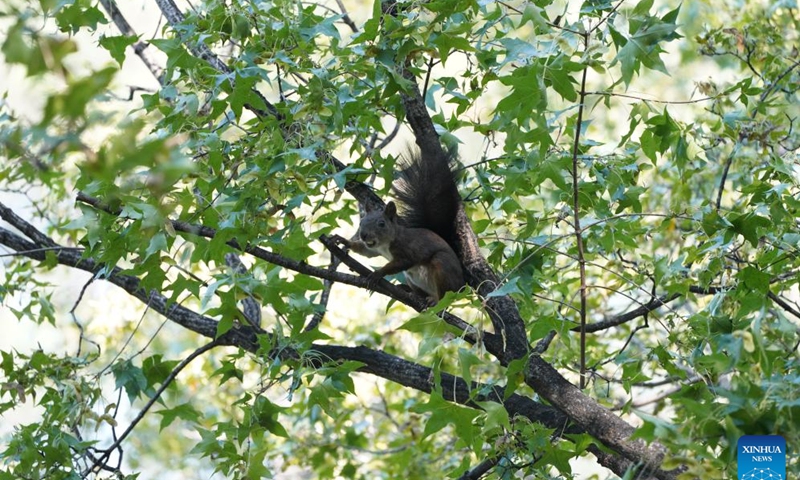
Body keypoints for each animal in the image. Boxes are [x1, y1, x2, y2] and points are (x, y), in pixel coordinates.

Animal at [332, 149, 465, 304]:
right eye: (361, 222)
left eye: (381, 224)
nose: (363, 235)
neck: (385, 244)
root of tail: (463, 285)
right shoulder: (374, 250)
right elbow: (365, 251)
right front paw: (342, 240)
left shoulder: (406, 249)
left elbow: (403, 262)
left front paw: (378, 273)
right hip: (412, 279)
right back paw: (410, 292)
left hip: (443, 267)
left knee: (446, 294)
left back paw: (435, 300)